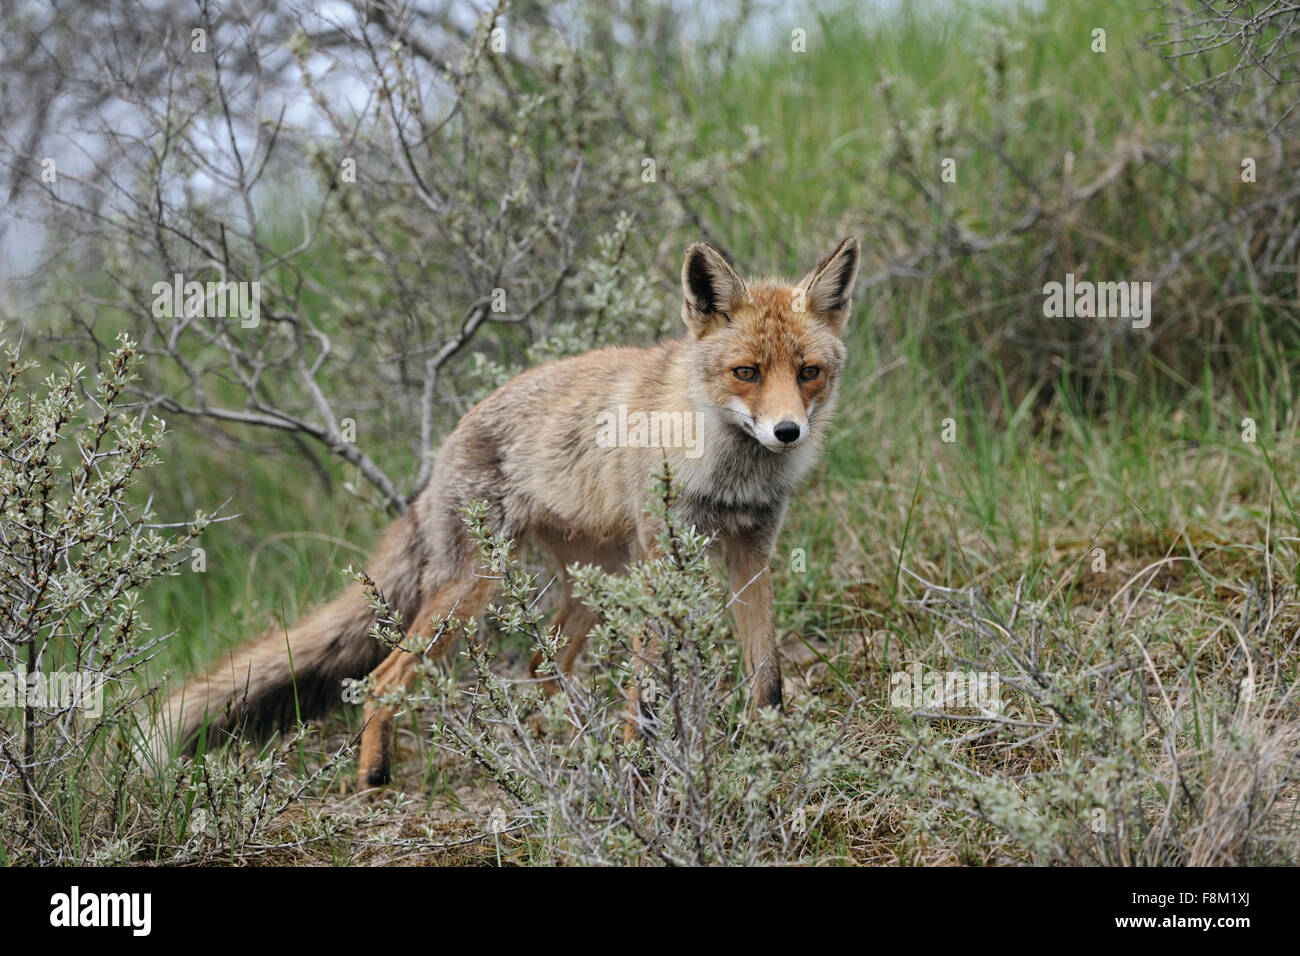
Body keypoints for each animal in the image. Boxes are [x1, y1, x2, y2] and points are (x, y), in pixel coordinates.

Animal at [151, 236, 861, 787]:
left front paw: (772, 755)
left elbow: (767, 679)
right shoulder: (664, 561)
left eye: (808, 372)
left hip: (596, 585)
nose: (787, 432)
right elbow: (648, 688)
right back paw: (375, 775)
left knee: (542, 669)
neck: (727, 469)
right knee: (384, 676)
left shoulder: (751, 552)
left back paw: (562, 746)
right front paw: (642, 767)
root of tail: (443, 450)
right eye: (746, 372)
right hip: (476, 589)